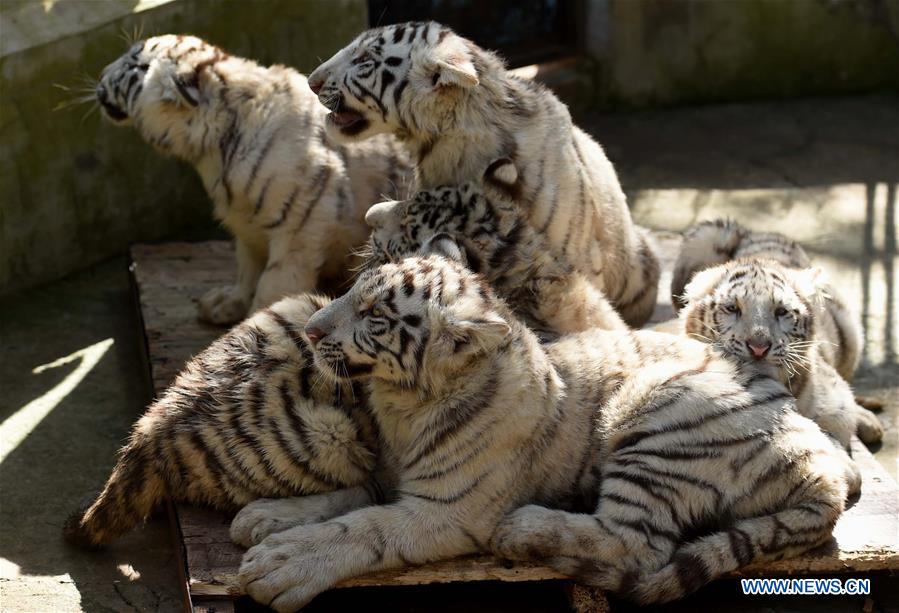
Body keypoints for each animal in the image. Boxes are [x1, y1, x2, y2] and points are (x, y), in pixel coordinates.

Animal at [96, 35, 414, 326]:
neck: (212, 147)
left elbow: (272, 285)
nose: (100, 77)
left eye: (135, 66)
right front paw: (225, 303)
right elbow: (247, 267)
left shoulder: (300, 226)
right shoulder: (245, 219)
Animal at [229, 252, 856, 608]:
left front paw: (283, 562)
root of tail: (821, 462)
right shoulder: (389, 469)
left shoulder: (448, 510)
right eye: (351, 292)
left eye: (375, 317)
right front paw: (269, 516)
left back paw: (525, 528)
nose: (311, 331)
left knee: (636, 547)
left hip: (655, 415)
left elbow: (366, 527)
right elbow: (351, 494)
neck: (403, 402)